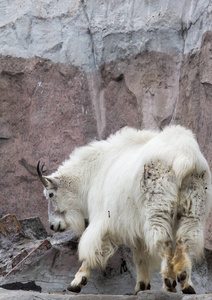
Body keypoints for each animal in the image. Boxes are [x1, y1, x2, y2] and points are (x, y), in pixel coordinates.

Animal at [37, 125, 211, 294]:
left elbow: (92, 247)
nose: (53, 225)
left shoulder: (104, 218)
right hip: (193, 204)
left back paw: (168, 282)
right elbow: (140, 256)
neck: (94, 172)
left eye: (50, 194)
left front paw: (77, 282)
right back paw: (185, 282)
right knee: (185, 240)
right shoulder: (136, 226)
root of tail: (184, 157)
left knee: (164, 241)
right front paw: (142, 285)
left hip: (158, 207)